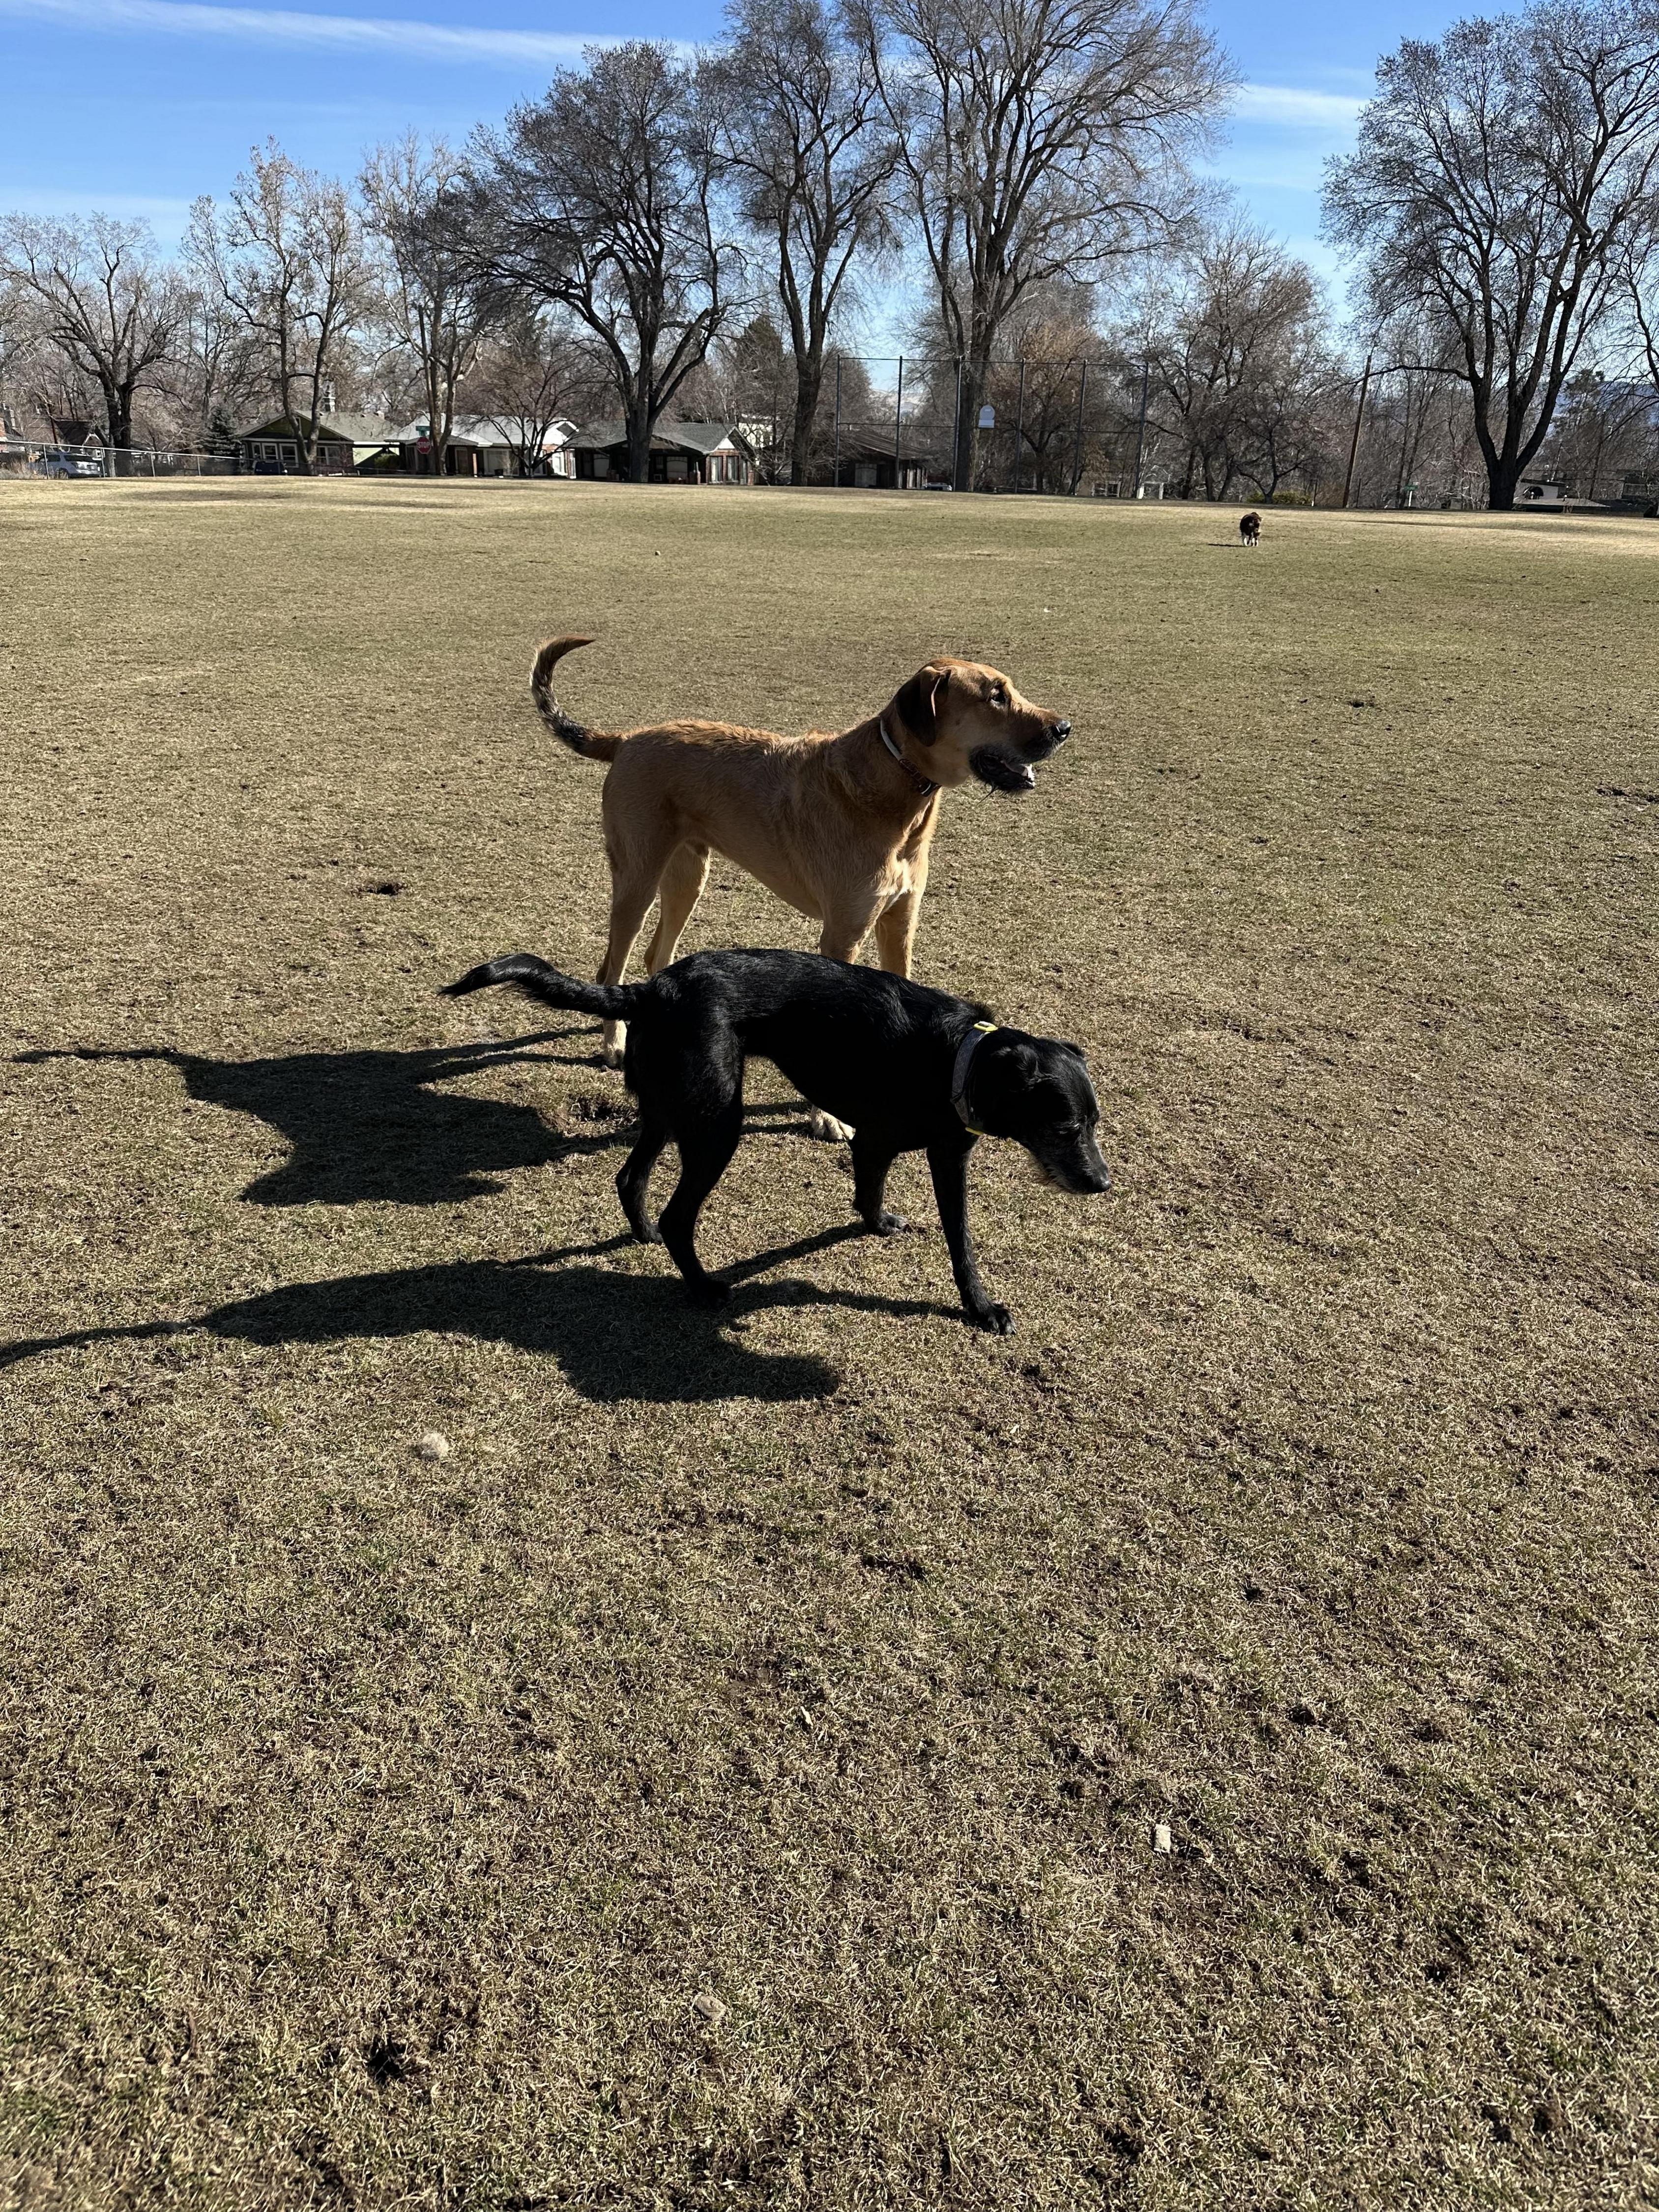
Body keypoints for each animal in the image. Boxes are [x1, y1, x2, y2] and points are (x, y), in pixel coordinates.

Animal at [449, 947, 1110, 1327]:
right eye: (1065, 1127)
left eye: (1096, 1124)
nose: (1103, 1182)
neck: (959, 1055)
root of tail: (651, 989)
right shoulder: (910, 1149)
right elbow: (960, 1241)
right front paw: (981, 1308)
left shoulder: (912, 1149)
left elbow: (879, 1197)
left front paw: (879, 1225)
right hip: (717, 1126)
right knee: (678, 1216)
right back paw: (702, 1286)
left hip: (668, 1111)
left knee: (630, 1177)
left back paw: (641, 1234)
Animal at [528, 633, 1079, 1071]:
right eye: (995, 696)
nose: (1063, 728)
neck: (896, 789)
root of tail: (628, 739)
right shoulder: (843, 934)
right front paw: (830, 1119)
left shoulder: (899, 922)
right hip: (638, 880)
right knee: (613, 965)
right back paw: (614, 1043)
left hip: (687, 875)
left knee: (653, 956)